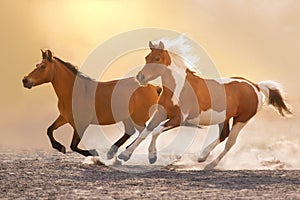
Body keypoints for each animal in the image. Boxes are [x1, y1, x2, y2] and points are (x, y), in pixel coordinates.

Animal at [22, 49, 161, 158]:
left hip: (138, 118)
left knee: (144, 133)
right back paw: (112, 152)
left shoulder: (81, 123)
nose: (25, 80)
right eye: (37, 64)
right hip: (126, 117)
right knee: (130, 132)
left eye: (43, 67)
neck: (74, 92)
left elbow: (73, 146)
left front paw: (93, 153)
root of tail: (154, 87)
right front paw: (59, 147)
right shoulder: (64, 117)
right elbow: (49, 130)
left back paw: (125, 153)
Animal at [118, 38, 292, 169]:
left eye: (157, 59)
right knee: (224, 135)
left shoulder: (179, 119)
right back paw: (202, 157)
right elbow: (146, 131)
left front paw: (152, 156)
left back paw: (210, 165)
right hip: (224, 118)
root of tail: (255, 86)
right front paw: (124, 155)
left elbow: (155, 131)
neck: (178, 88)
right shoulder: (161, 113)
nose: (140, 77)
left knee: (230, 142)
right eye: (147, 58)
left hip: (241, 120)